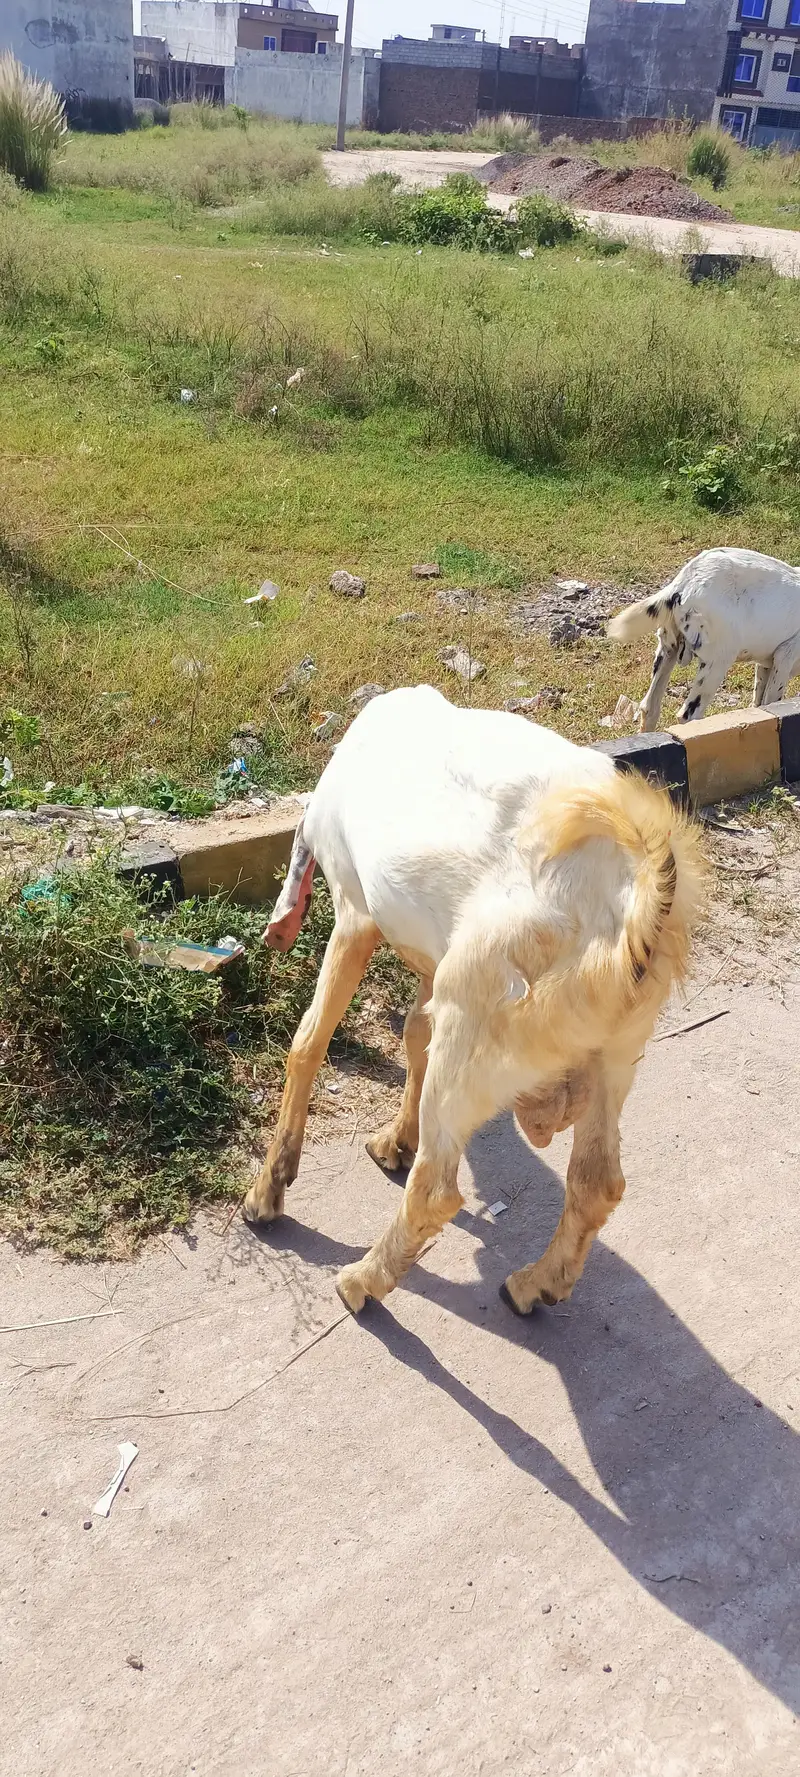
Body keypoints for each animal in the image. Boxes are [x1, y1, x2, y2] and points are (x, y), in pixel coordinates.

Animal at [243, 687, 705, 1317]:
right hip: (614, 1053)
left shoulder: (357, 915)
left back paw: (360, 1281)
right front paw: (396, 1141)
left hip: (476, 1011)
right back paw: (533, 1286)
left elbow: (308, 1042)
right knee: (597, 1183)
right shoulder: (433, 952)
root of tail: (636, 896)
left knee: (438, 1189)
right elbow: (414, 1033)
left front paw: (269, 1189)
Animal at [608, 547, 800, 732]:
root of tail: (683, 583)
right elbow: (771, 701)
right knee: (688, 715)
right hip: (718, 660)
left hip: (667, 650)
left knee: (649, 707)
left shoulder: (765, 664)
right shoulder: (785, 656)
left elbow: (758, 705)